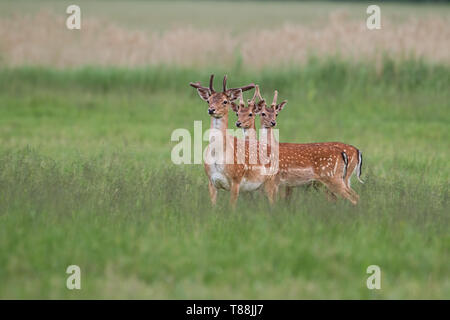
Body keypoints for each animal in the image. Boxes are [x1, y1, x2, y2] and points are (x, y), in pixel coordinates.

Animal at [190, 76, 282, 209]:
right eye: (208, 100)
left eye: (225, 101)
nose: (211, 110)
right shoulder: (211, 181)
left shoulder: (236, 179)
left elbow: (232, 207)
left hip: (270, 180)